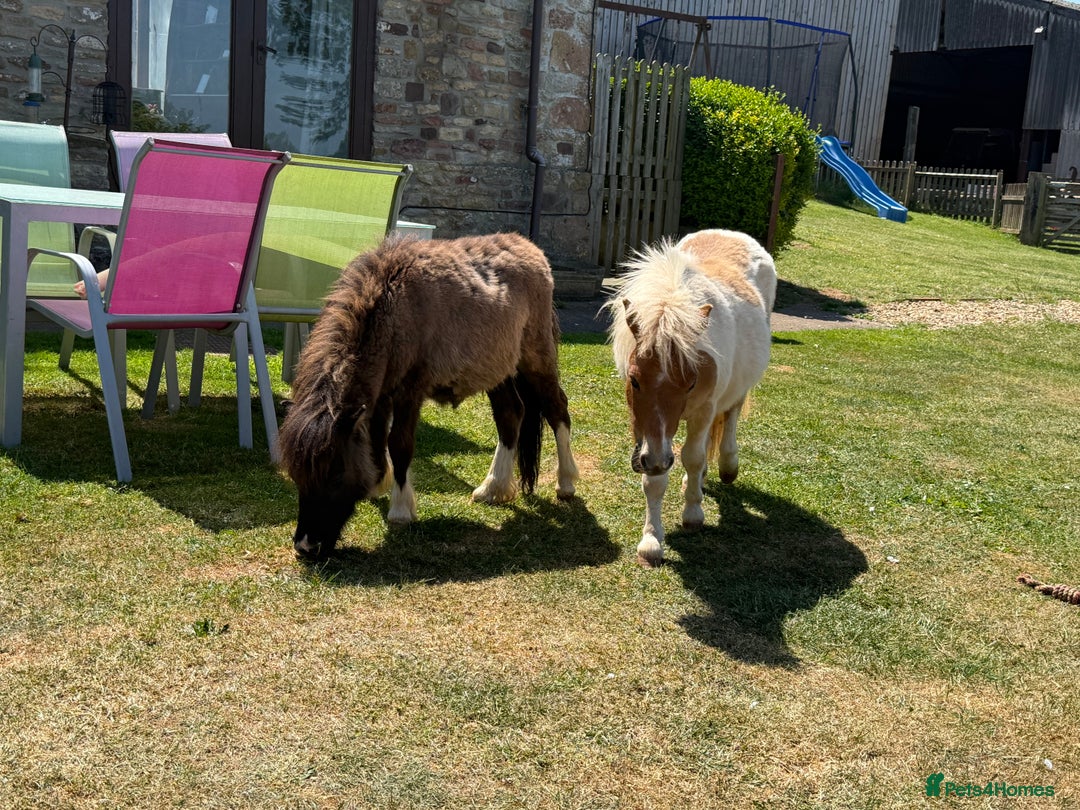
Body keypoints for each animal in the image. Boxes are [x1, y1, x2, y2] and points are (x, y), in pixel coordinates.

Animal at [278, 232, 580, 561]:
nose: (306, 546)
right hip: (496, 368)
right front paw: (377, 483)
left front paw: (400, 509)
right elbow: (375, 440)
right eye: (297, 475)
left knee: (556, 409)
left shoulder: (409, 392)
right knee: (511, 415)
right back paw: (494, 487)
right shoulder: (379, 396)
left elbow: (399, 445)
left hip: (536, 356)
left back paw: (566, 482)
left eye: (334, 474)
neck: (391, 305)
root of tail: (531, 249)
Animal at [605, 229, 775, 566]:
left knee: (731, 416)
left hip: (733, 394)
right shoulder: (645, 428)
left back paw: (726, 465)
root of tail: (731, 234)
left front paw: (693, 513)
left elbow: (693, 457)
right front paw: (651, 541)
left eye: (690, 382)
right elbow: (655, 476)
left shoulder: (702, 411)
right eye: (634, 380)